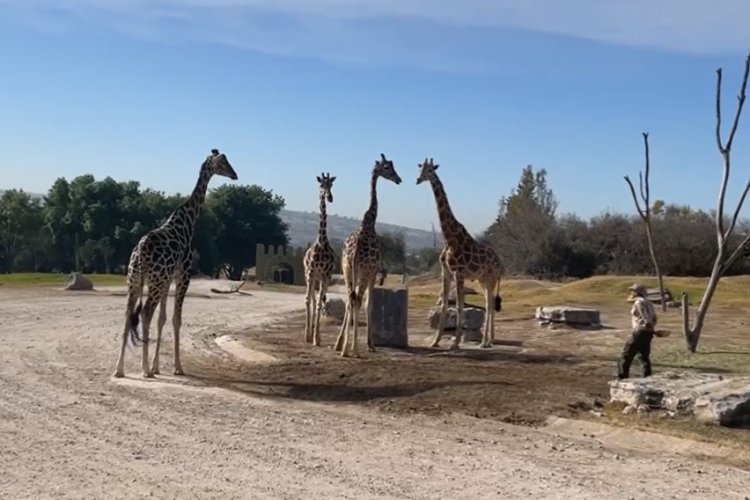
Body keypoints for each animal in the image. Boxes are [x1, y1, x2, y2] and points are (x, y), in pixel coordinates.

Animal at [112, 148, 238, 378]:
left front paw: (157, 366)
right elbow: (176, 319)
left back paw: (119, 369)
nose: (235, 175)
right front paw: (177, 367)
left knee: (128, 316)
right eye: (223, 163)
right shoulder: (183, 277)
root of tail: (140, 253)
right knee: (145, 313)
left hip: (133, 282)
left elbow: (162, 319)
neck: (188, 222)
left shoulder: (166, 280)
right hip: (152, 283)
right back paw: (144, 370)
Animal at [334, 152, 402, 356]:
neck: (369, 222)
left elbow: (352, 302)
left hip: (347, 270)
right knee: (357, 300)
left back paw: (344, 348)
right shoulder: (373, 273)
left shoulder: (355, 272)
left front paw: (340, 343)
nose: (399, 179)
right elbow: (369, 304)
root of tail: (355, 250)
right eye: (387, 167)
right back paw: (354, 349)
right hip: (363, 272)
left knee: (350, 299)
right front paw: (370, 344)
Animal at [418, 158, 506, 350]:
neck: (449, 238)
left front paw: (456, 343)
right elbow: (444, 305)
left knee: (489, 303)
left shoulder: (458, 272)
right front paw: (435, 341)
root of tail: (500, 262)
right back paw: (489, 340)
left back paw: (485, 342)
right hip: (481, 279)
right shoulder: (445, 272)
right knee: (489, 302)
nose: (418, 179)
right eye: (420, 169)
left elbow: (458, 307)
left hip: (490, 278)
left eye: (430, 170)